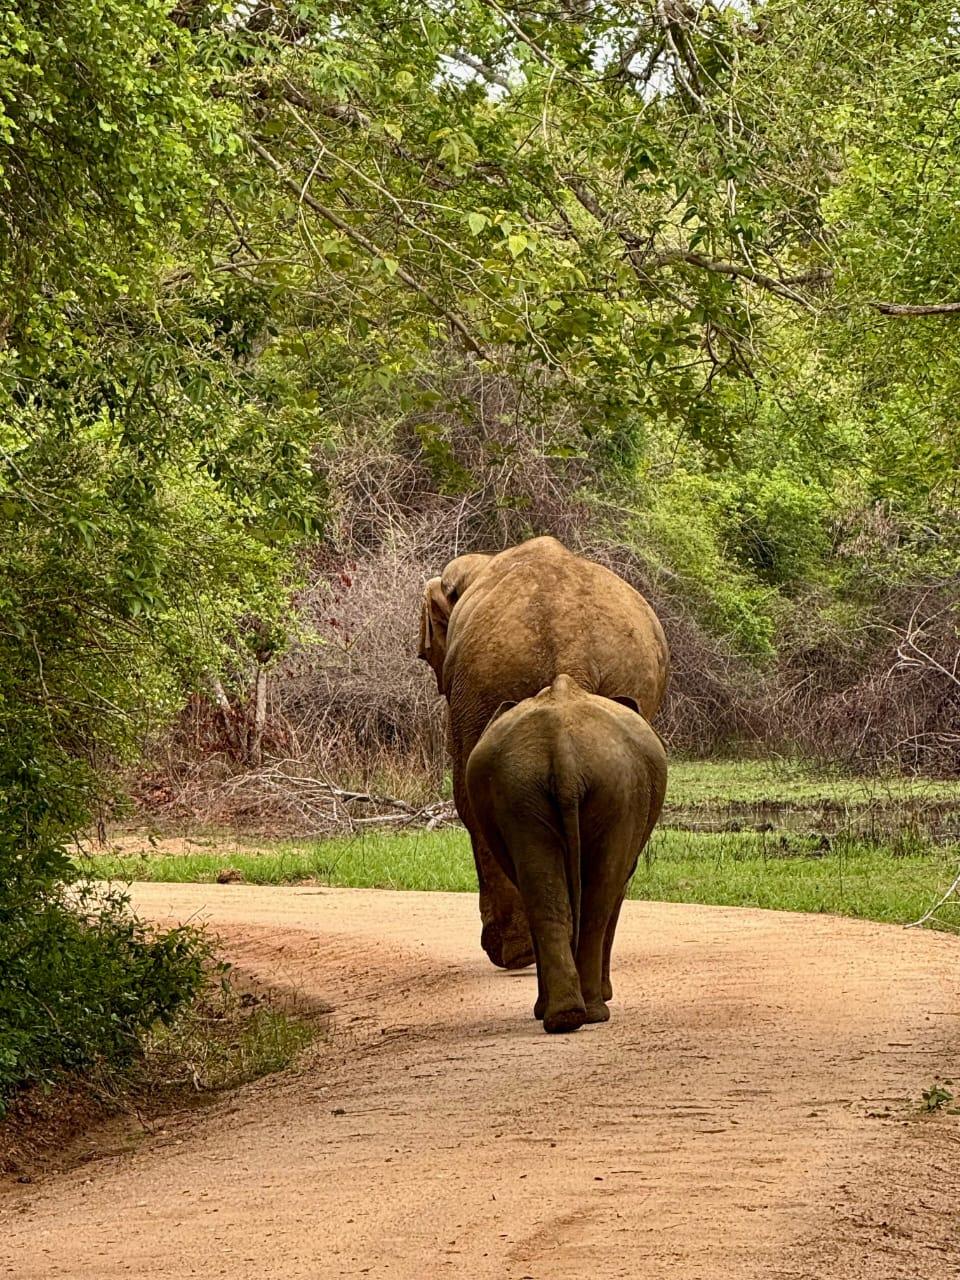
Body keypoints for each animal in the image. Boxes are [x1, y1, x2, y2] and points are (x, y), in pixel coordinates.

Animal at [417, 535, 668, 971]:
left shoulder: (465, 696)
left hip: (491, 679)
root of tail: (573, 652)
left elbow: (467, 796)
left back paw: (514, 953)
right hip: (629, 687)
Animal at [465, 674, 667, 1032]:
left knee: (551, 898)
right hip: (613, 791)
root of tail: (563, 751)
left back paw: (565, 1016)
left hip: (528, 791)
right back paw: (591, 1011)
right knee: (598, 900)